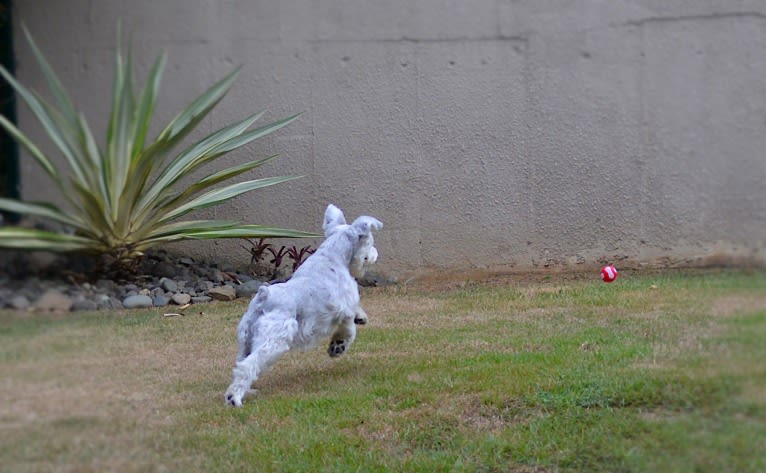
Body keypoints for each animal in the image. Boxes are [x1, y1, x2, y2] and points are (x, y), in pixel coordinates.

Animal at [226, 203, 384, 406]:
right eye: (369, 242)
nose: (375, 254)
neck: (333, 255)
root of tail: (264, 296)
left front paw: (361, 317)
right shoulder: (343, 308)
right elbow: (349, 330)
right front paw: (338, 346)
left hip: (246, 339)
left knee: (241, 363)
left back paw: (248, 391)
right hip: (274, 341)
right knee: (248, 365)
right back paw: (234, 398)